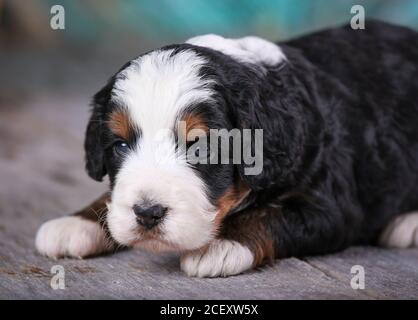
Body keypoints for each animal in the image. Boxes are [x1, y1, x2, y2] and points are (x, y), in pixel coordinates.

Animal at [35, 21, 418, 278]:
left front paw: (221, 246)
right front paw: (76, 222)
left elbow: (270, 215)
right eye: (120, 144)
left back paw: (407, 224)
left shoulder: (333, 205)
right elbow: (111, 197)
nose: (147, 214)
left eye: (201, 148)